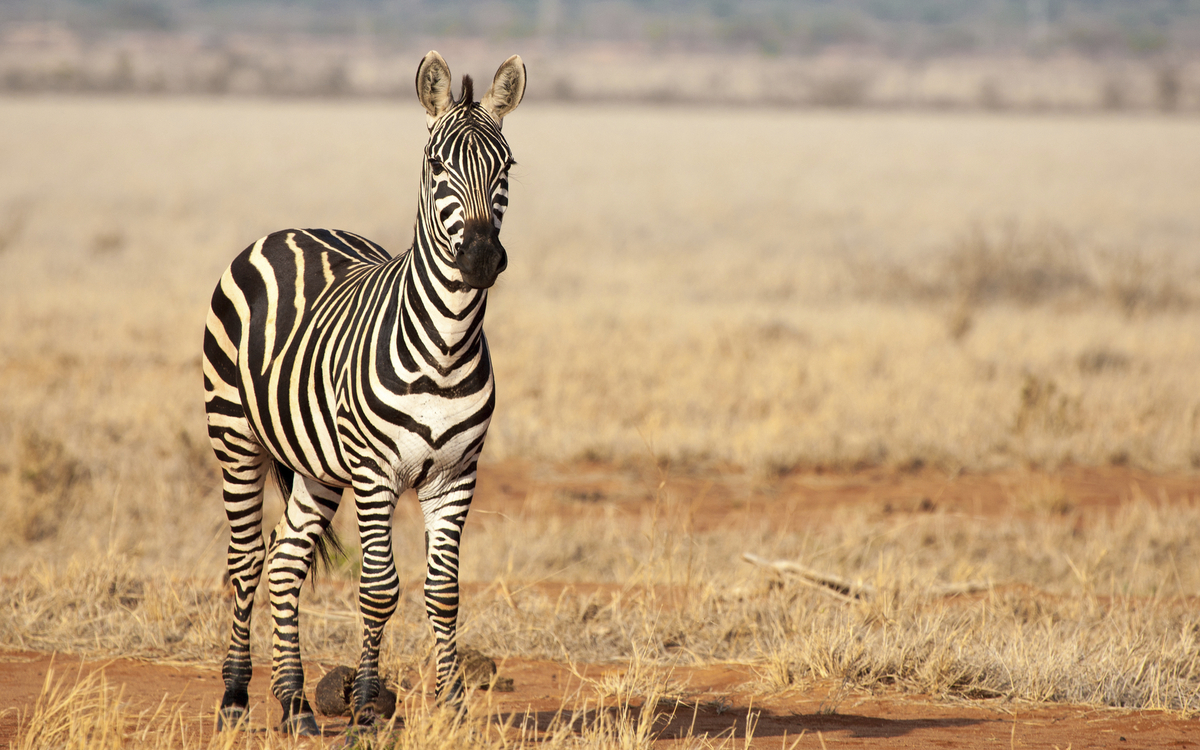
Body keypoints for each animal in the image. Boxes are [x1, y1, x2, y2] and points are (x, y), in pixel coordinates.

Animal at [202, 51, 525, 734]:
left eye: (506, 166)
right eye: (437, 165)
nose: (482, 258)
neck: (445, 346)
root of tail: (293, 230)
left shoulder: (457, 474)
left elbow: (442, 593)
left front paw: (452, 705)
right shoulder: (377, 473)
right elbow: (379, 591)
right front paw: (369, 707)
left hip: (318, 466)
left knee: (286, 563)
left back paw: (296, 704)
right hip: (235, 437)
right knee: (245, 560)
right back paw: (237, 696)